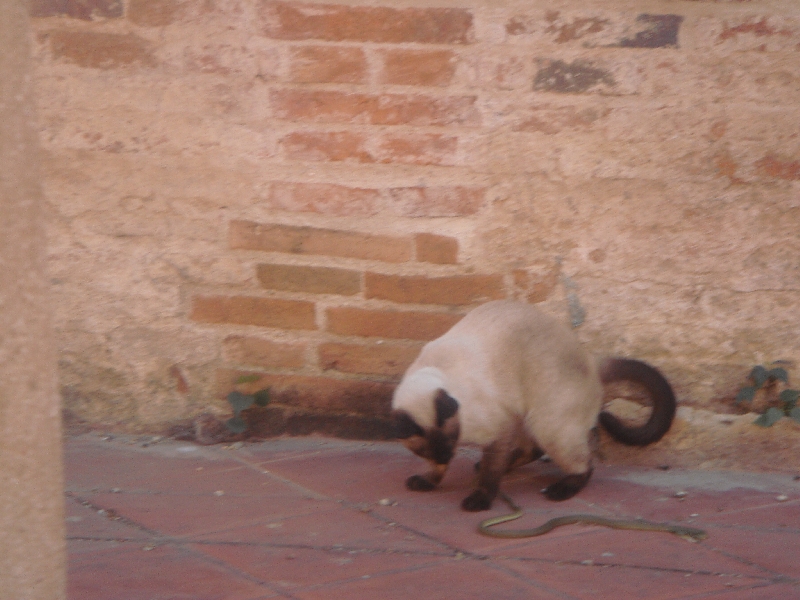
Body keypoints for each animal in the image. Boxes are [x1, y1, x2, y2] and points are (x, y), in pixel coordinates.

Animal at [392, 300, 676, 510]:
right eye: (425, 451)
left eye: (449, 442)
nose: (446, 456)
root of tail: (592, 362)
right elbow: (443, 469)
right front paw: (429, 480)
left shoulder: (498, 429)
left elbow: (491, 474)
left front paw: (480, 499)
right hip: (530, 418)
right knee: (533, 449)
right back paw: (486, 465)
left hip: (548, 424)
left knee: (583, 463)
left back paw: (560, 490)